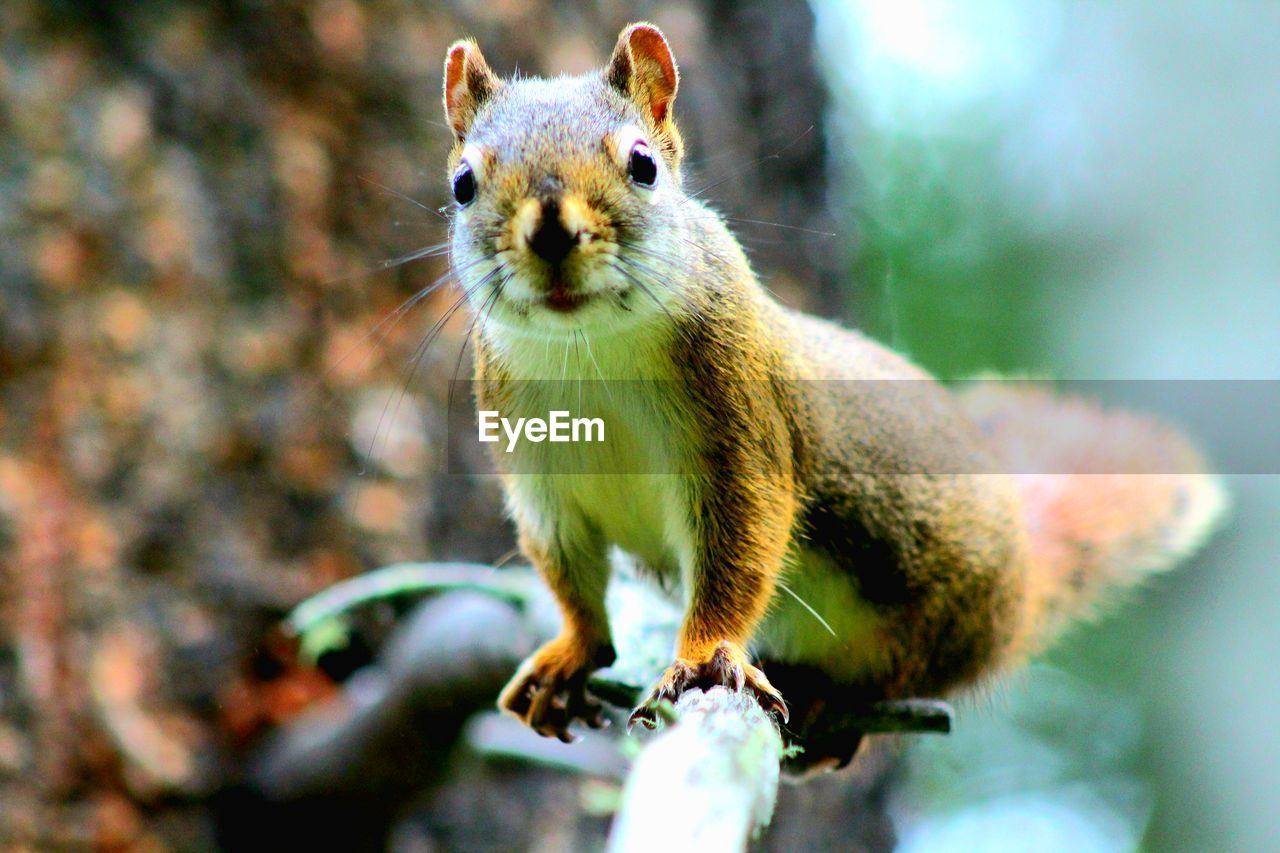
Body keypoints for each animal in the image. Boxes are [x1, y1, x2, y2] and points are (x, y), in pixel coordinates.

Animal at [440, 23, 1228, 758]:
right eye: (462, 183)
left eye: (642, 165)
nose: (551, 232)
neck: (590, 349)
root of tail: (1025, 574)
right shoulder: (538, 472)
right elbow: (566, 569)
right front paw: (571, 653)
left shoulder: (741, 427)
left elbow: (740, 550)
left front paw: (705, 654)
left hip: (935, 612)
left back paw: (829, 697)